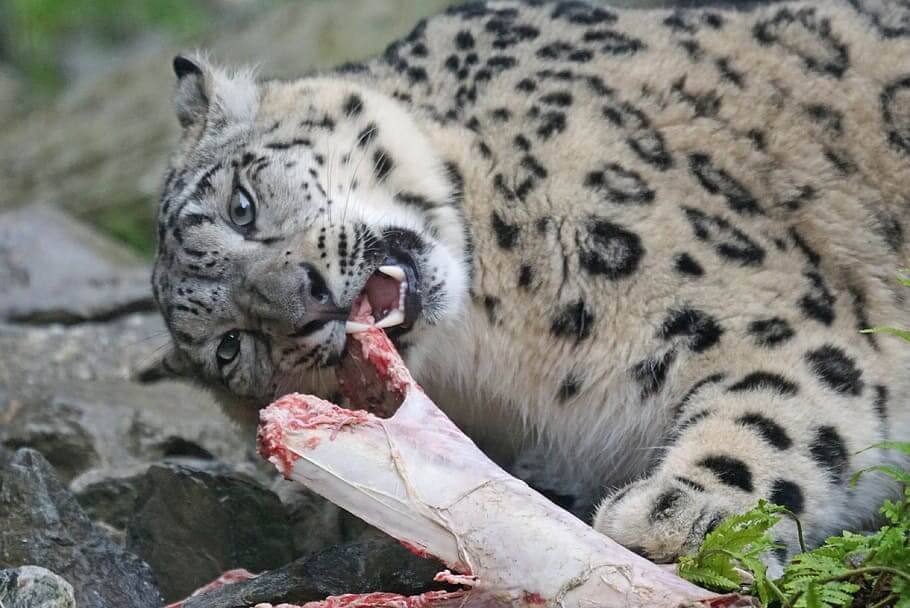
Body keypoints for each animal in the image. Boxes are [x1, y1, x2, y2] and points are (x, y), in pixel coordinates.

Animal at [152, 0, 910, 572]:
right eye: (231, 348)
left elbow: (781, 403)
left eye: (241, 206)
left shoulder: (761, 309)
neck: (509, 350)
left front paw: (681, 516)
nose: (303, 298)